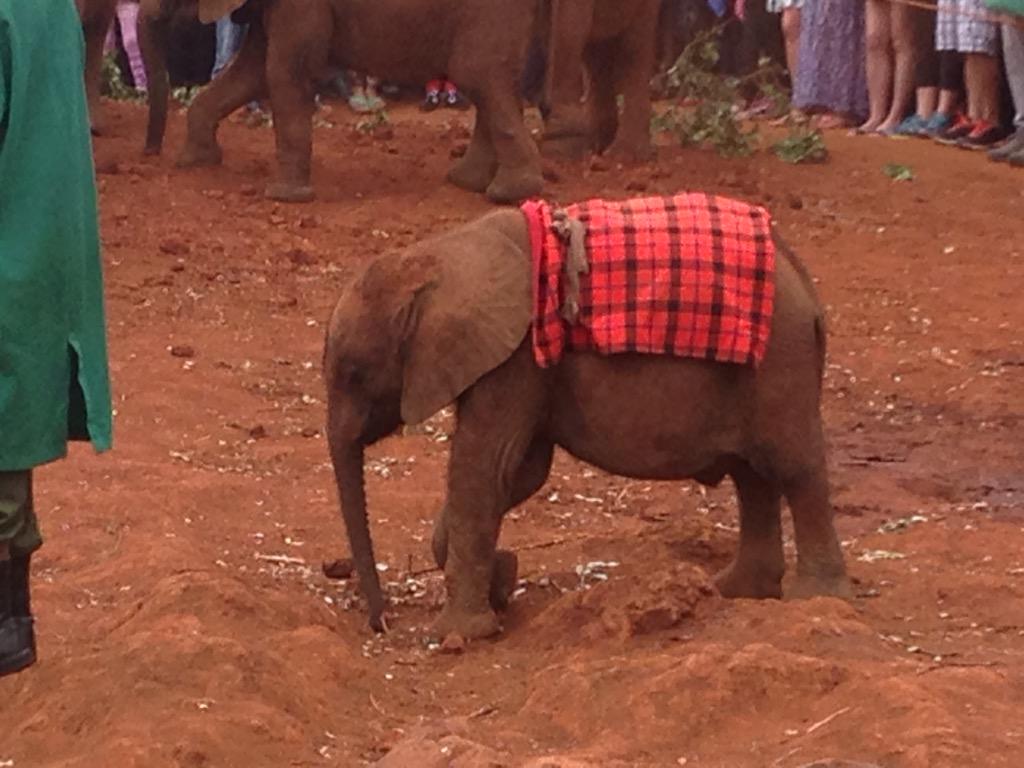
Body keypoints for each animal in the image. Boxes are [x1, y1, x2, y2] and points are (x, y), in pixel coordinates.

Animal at [177, 0, 545, 204]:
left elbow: (284, 73)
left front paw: (285, 197)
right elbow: (251, 71)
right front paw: (196, 161)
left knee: (479, 76)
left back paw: (510, 192)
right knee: (490, 84)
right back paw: (469, 182)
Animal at [322, 201, 852, 641]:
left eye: (354, 373)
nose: (381, 624)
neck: (435, 257)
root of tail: (808, 289)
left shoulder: (516, 358)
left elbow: (486, 468)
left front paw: (456, 636)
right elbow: (519, 473)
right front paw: (503, 580)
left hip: (779, 359)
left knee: (794, 468)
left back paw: (815, 597)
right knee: (752, 477)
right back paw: (738, 589)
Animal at [541, 0, 662, 161]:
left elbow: (568, 29)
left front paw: (556, 152)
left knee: (634, 44)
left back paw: (624, 155)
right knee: (596, 49)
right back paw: (596, 146)